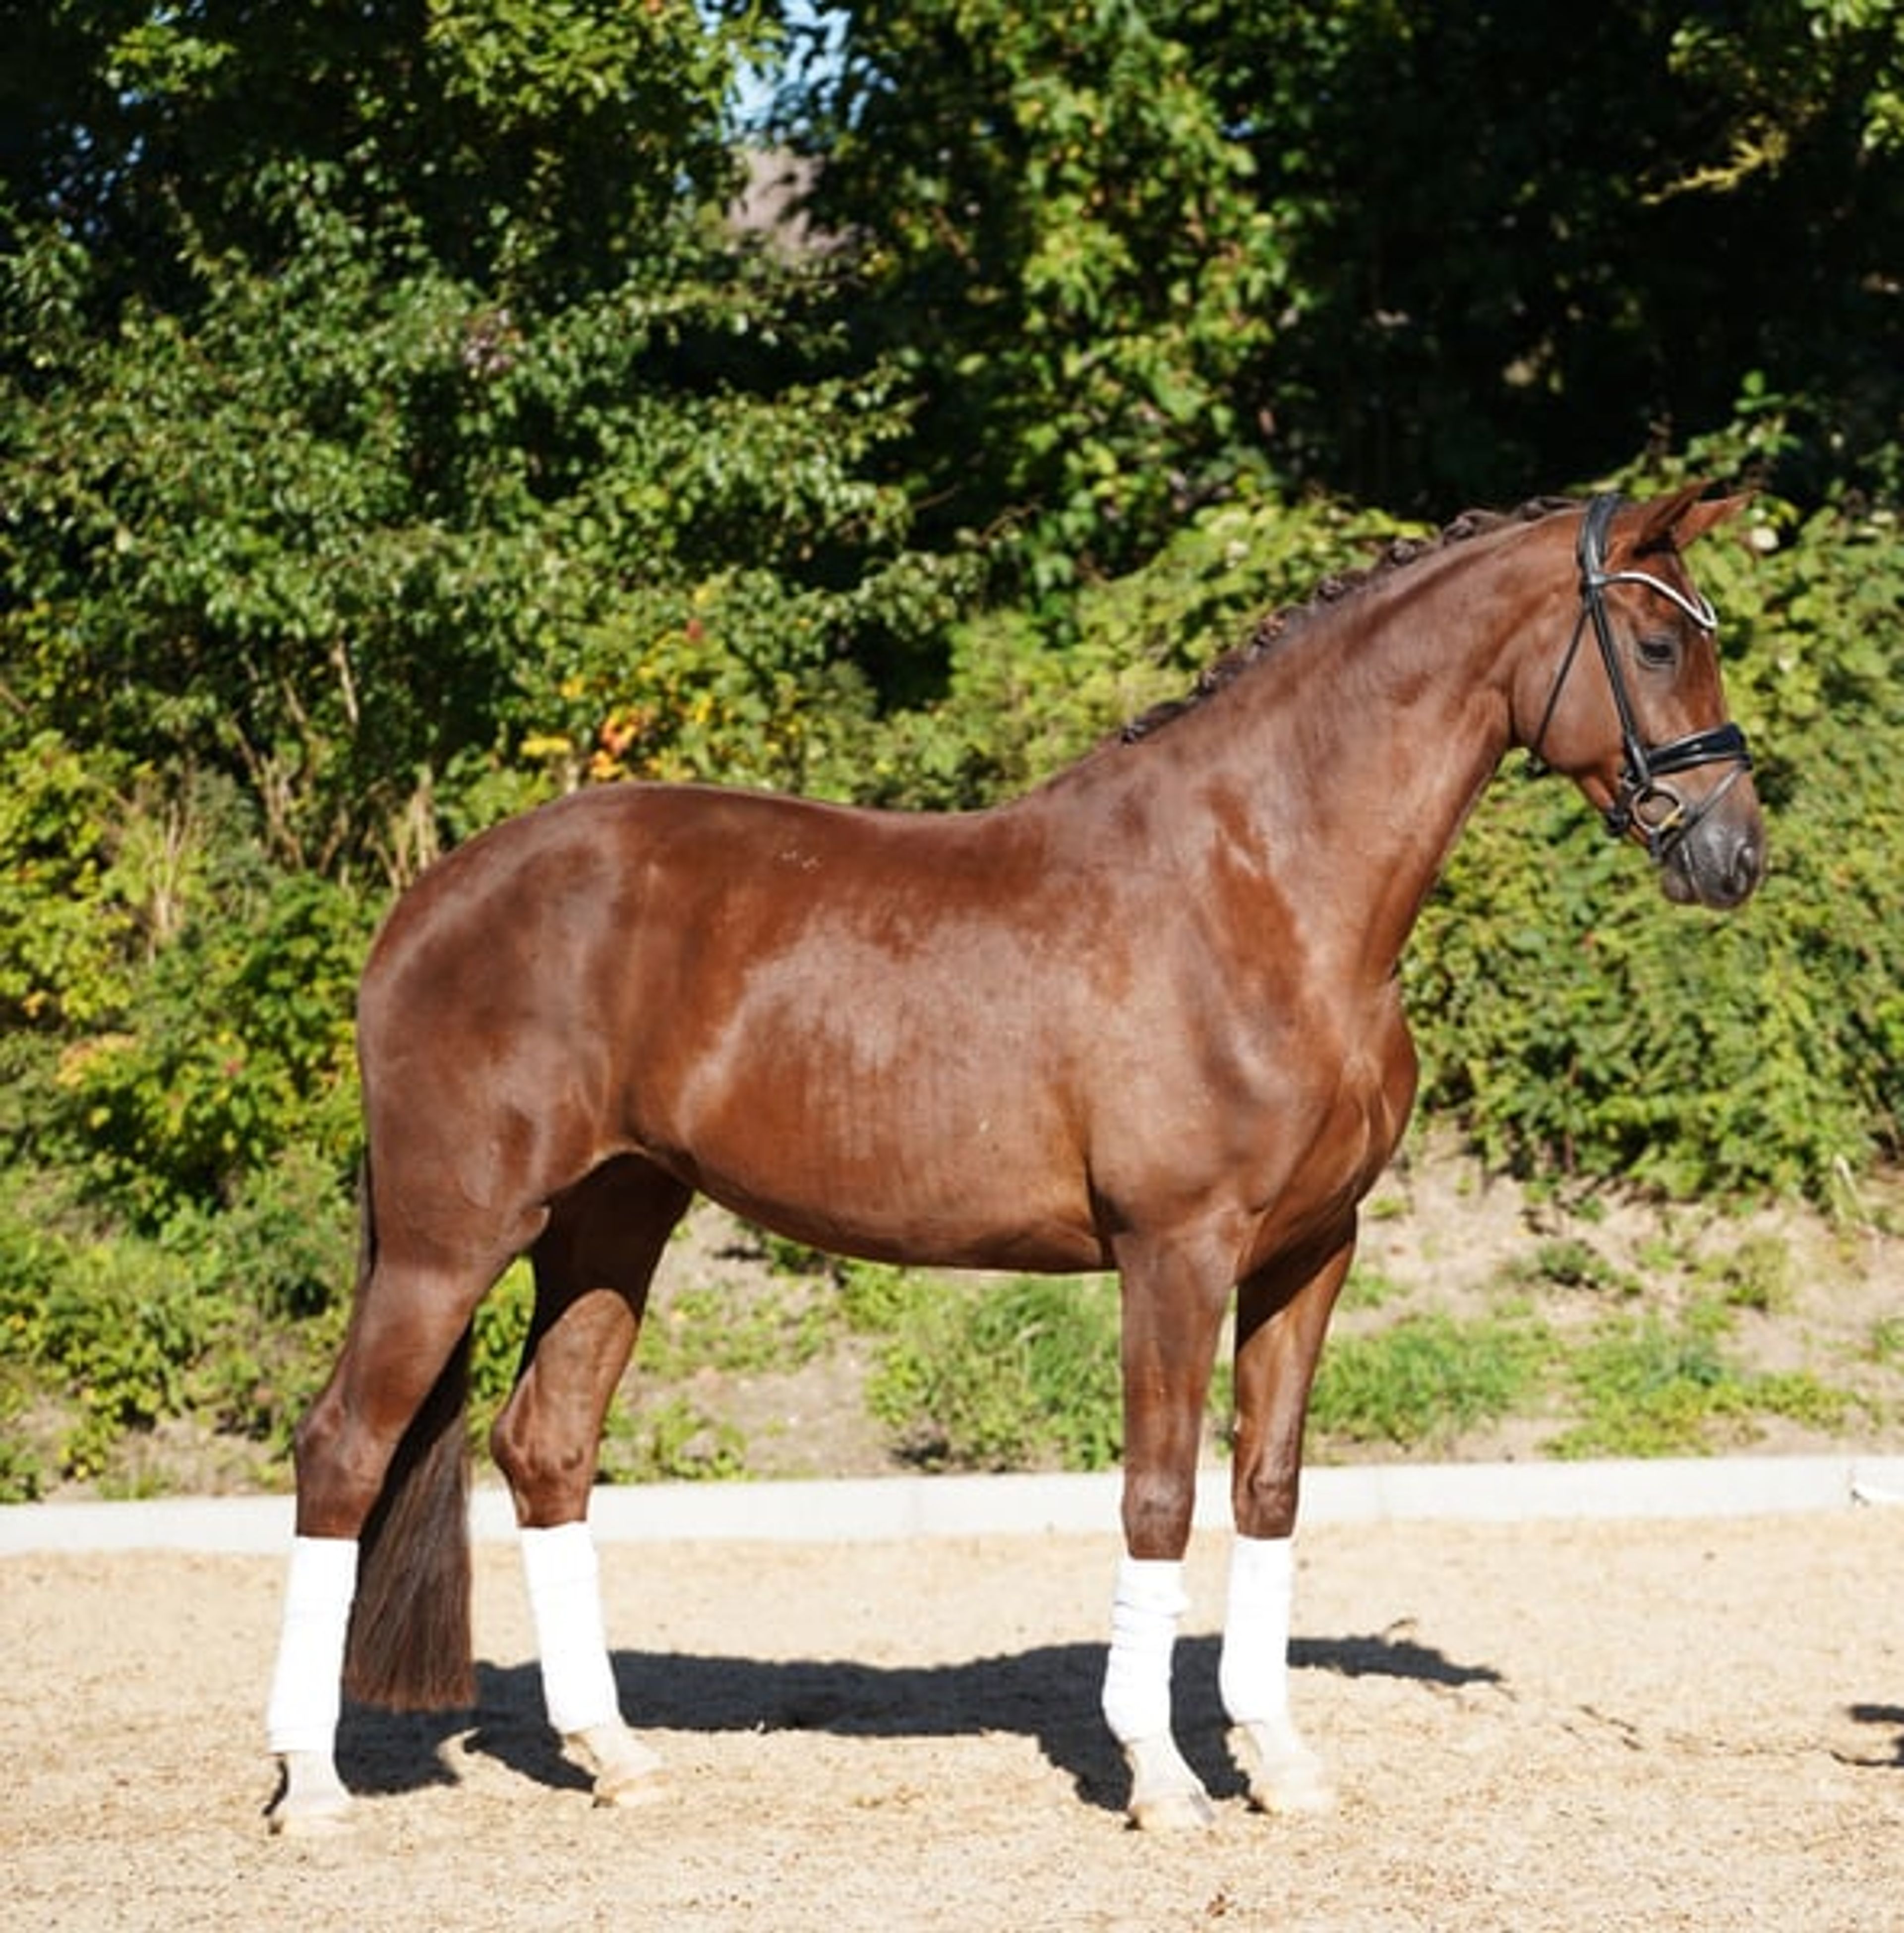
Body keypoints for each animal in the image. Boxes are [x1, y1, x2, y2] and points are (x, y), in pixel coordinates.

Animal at [266, 486, 1764, 1835]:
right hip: (451, 1239)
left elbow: (1267, 1488)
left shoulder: (1309, 1251)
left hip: (612, 1221)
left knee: (546, 1446)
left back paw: (616, 1758)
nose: (1732, 852)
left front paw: (1279, 1761)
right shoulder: (1175, 1251)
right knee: (344, 1447)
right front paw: (1163, 1777)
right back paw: (314, 1786)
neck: (1266, 887)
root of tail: (428, 900)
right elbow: (1157, 1496)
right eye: (1651, 645)